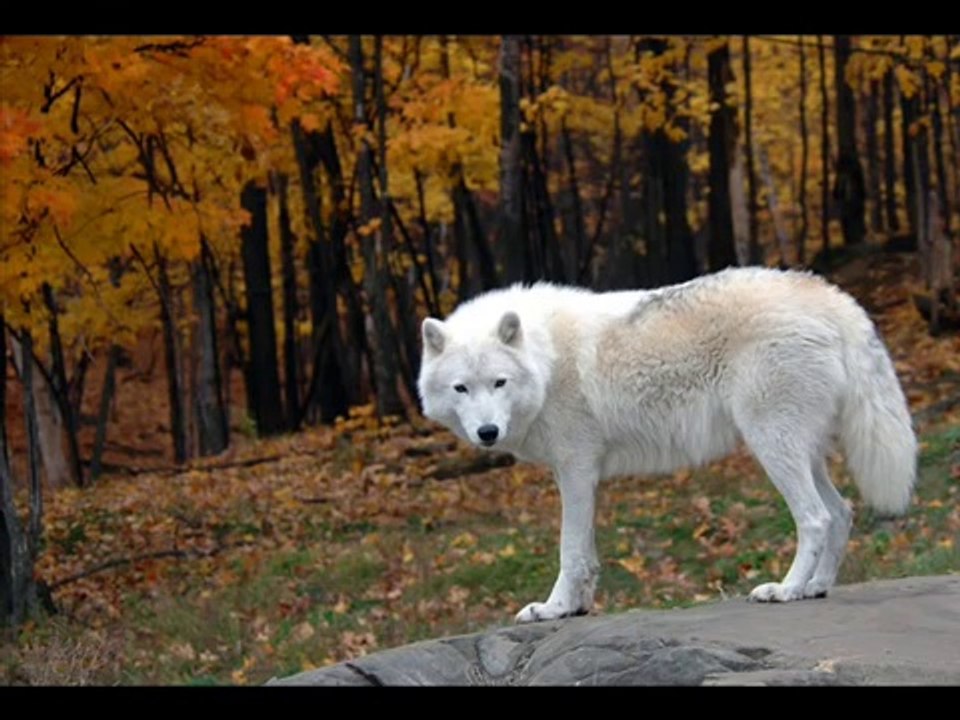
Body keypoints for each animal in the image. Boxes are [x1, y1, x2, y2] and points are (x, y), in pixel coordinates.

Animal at [417, 267, 916, 623]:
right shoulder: (580, 474)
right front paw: (578, 607)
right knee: (841, 512)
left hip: (773, 446)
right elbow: (587, 555)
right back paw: (817, 586)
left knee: (815, 518)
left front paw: (554, 609)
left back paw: (788, 590)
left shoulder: (576, 468)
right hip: (800, 450)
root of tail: (828, 294)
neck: (547, 359)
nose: (487, 433)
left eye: (499, 383)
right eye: (462, 388)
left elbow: (569, 551)